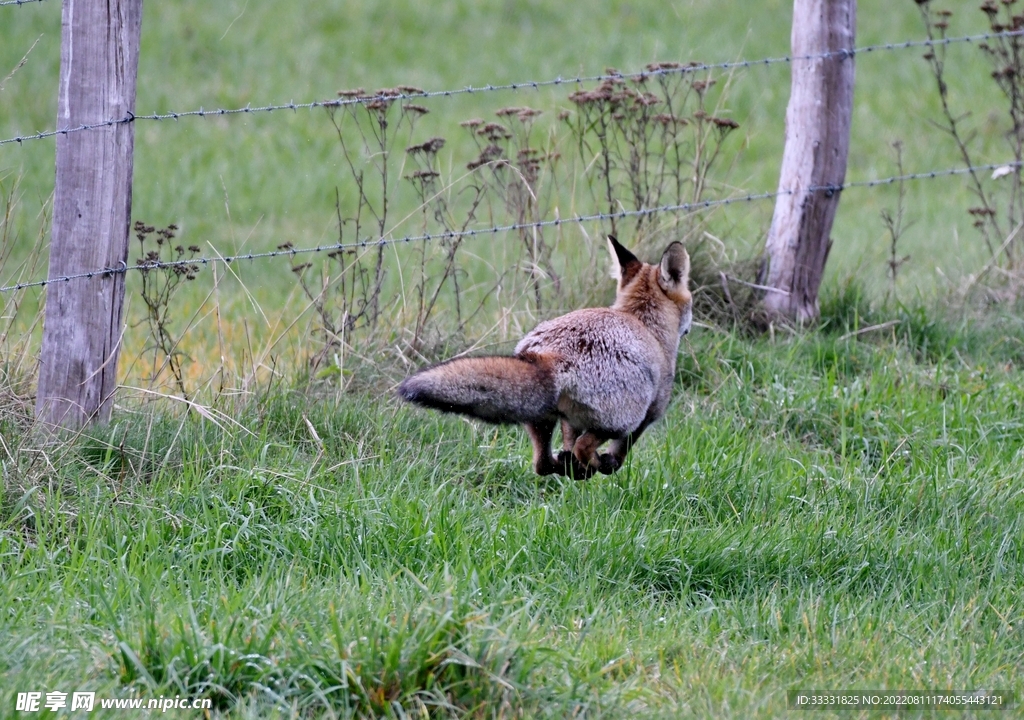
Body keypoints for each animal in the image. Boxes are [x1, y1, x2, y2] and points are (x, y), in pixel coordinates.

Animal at [395, 236, 692, 481]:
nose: (689, 326)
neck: (643, 322)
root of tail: (552, 355)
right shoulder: (650, 412)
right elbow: (619, 454)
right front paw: (606, 463)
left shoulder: (571, 419)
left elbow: (568, 442)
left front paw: (575, 464)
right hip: (618, 420)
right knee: (582, 448)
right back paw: (590, 466)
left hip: (540, 417)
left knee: (542, 464)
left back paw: (570, 467)